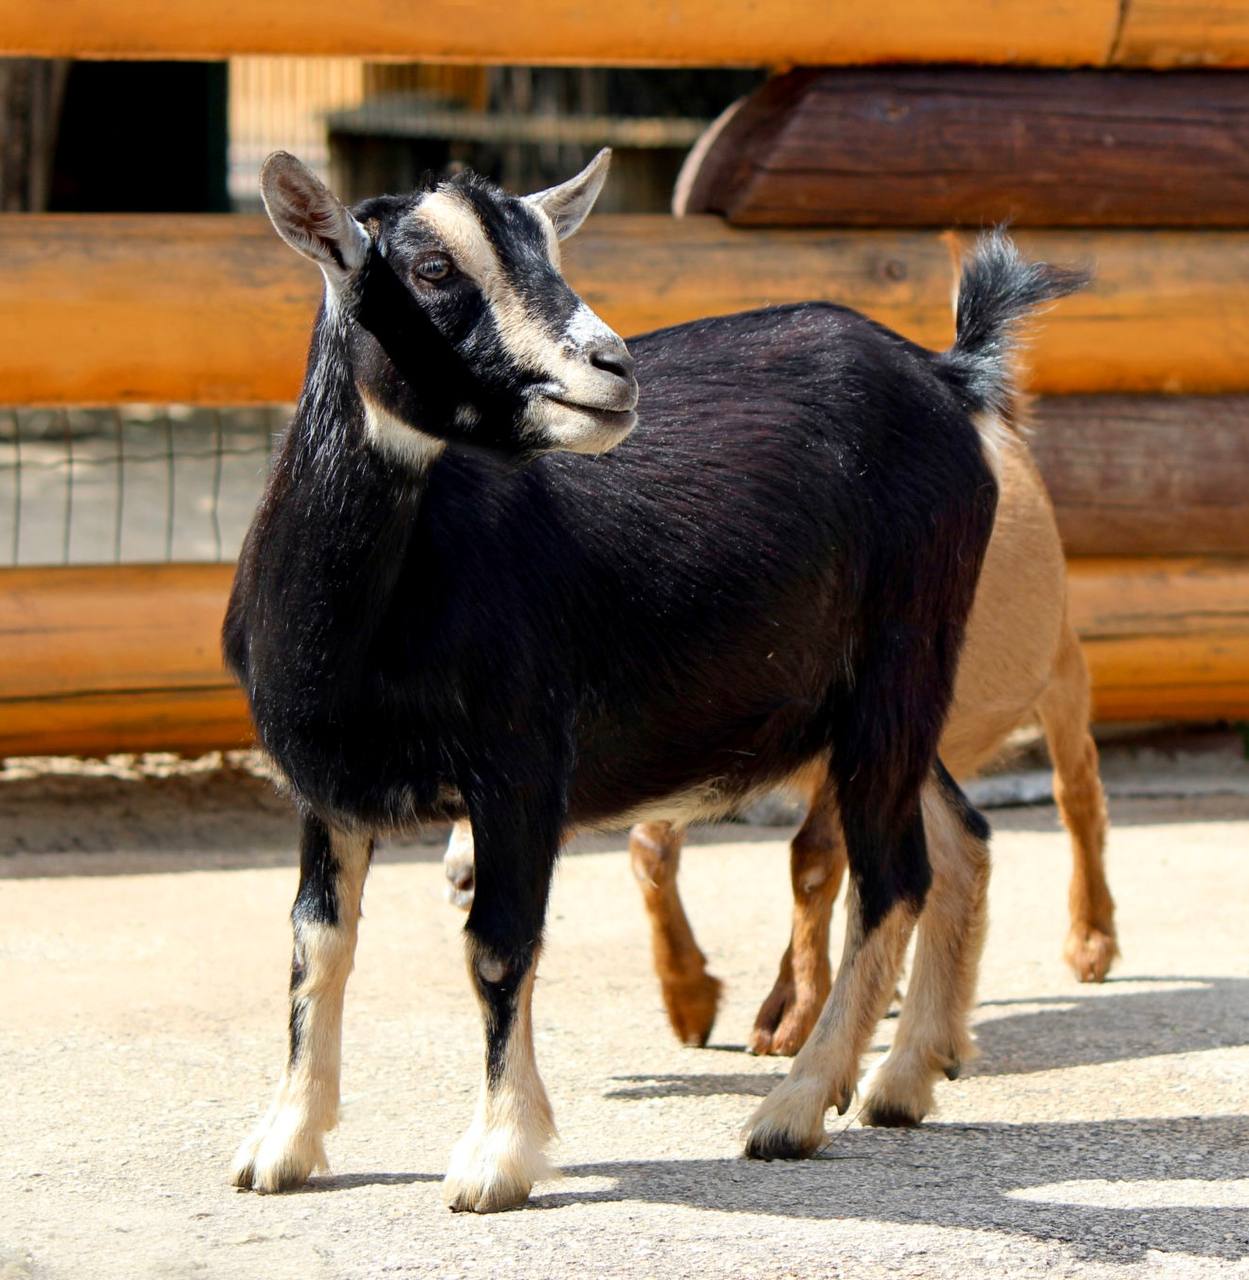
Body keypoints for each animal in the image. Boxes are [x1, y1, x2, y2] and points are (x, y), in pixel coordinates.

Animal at [443, 432, 1117, 1055]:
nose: (461, 877)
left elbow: (813, 859)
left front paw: (789, 1013)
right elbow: (651, 852)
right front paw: (691, 1002)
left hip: (1060, 660)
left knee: (1076, 786)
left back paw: (1091, 941)